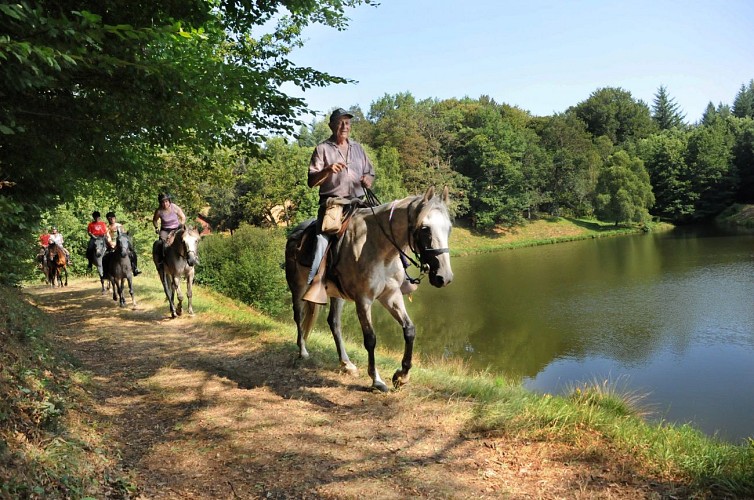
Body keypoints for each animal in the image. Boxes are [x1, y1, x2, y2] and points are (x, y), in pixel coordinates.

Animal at [284, 186, 452, 392]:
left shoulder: (391, 296)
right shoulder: (363, 300)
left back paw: (346, 364)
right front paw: (376, 380)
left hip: (337, 295)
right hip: (298, 287)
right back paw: (303, 351)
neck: (379, 248)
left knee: (334, 323)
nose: (444, 277)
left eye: (449, 228)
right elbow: (370, 339)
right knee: (298, 316)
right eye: (425, 229)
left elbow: (409, 330)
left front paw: (401, 376)